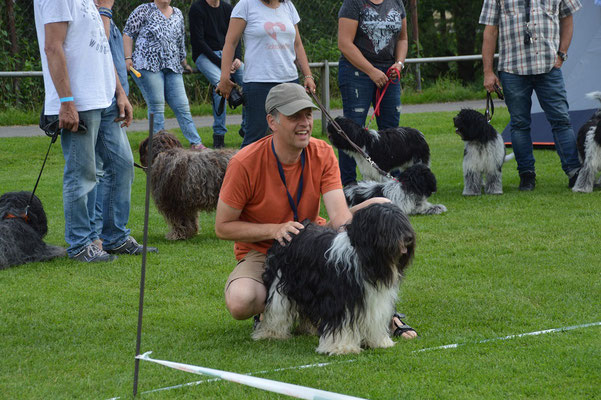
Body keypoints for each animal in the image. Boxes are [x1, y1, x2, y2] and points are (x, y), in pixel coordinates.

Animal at [251, 205, 414, 354]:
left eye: (403, 222)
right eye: (387, 226)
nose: (408, 238)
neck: (365, 259)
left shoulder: (374, 299)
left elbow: (375, 319)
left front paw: (379, 342)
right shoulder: (341, 301)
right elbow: (342, 325)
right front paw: (342, 348)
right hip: (281, 283)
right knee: (277, 309)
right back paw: (271, 333)